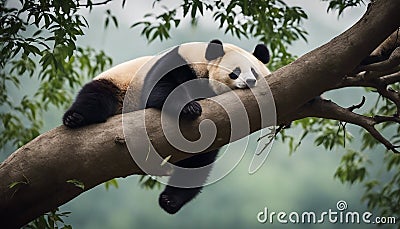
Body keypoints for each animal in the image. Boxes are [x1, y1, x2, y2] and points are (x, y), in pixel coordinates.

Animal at [62, 39, 270, 213]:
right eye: (235, 72)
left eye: (254, 71)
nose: (250, 81)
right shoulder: (178, 63)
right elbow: (161, 88)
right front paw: (189, 107)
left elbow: (198, 160)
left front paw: (171, 199)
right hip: (119, 85)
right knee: (96, 98)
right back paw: (74, 118)